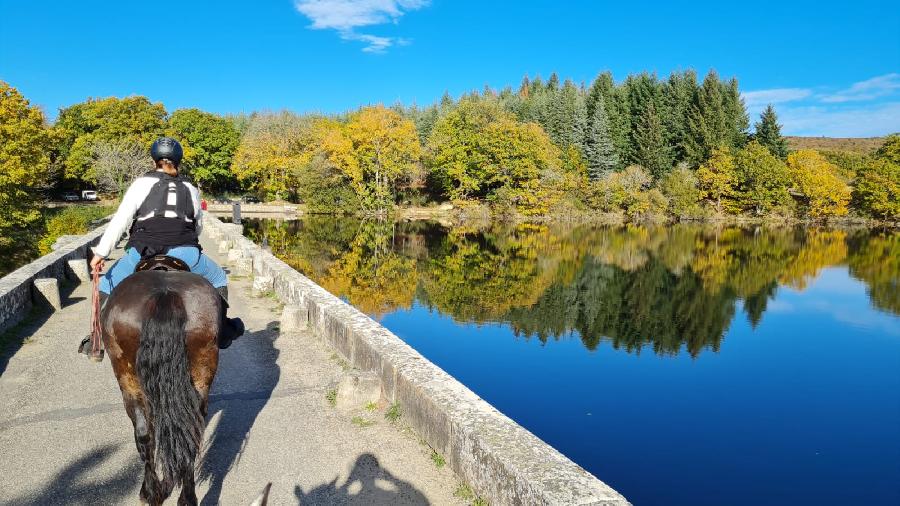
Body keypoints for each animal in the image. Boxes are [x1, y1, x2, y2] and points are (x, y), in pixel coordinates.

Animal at [101, 260, 221, 506]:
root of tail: (165, 295)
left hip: (127, 377)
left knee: (144, 432)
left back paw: (150, 492)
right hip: (201, 372)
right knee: (186, 433)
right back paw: (186, 498)